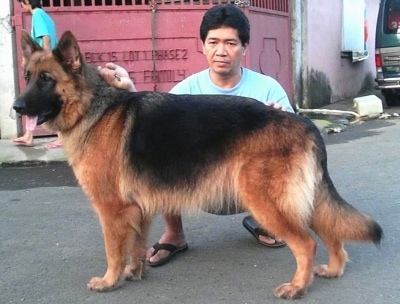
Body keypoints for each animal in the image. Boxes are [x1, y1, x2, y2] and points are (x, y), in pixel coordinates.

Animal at [13, 30, 384, 300]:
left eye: (46, 79)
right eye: (28, 76)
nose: (16, 107)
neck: (93, 107)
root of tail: (303, 121)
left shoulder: (111, 210)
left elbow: (113, 251)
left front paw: (110, 281)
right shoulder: (137, 210)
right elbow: (136, 246)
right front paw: (135, 273)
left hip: (266, 202)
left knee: (307, 244)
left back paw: (297, 287)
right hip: (303, 200)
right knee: (330, 232)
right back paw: (333, 269)